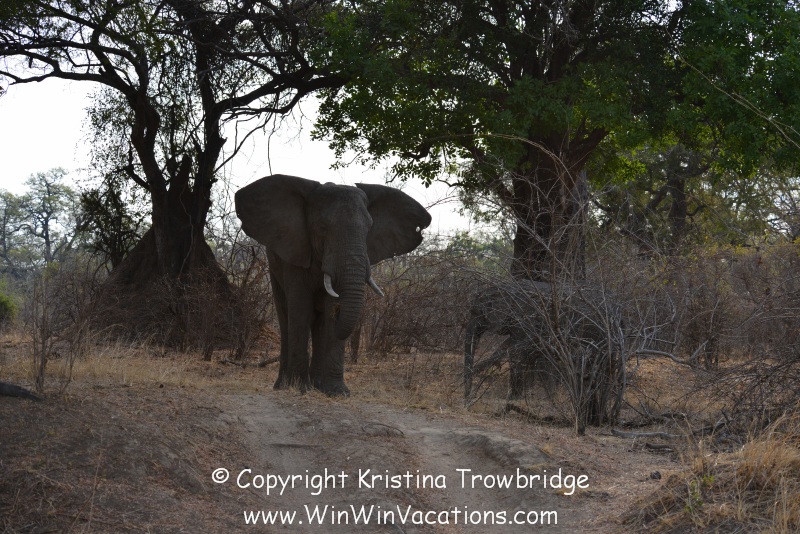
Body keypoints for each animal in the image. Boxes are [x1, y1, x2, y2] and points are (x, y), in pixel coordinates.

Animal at [235, 175, 432, 396]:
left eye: (369, 229)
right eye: (322, 227)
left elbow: (328, 316)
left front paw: (337, 392)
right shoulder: (295, 251)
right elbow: (300, 309)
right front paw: (299, 388)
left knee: (319, 323)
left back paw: (317, 384)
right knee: (286, 316)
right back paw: (284, 385)